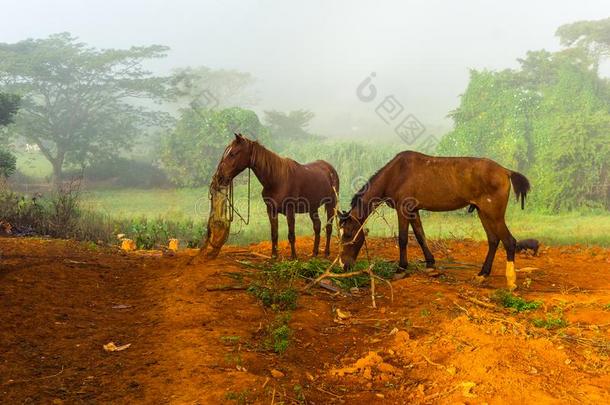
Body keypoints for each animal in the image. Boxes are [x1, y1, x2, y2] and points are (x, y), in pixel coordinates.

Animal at [338, 150, 528, 288]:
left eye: (348, 234)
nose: (343, 265)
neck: (396, 173)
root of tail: (506, 171)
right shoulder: (413, 211)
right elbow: (420, 236)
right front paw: (431, 265)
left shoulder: (403, 210)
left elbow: (403, 239)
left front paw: (401, 269)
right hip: (483, 213)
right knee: (493, 240)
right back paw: (482, 274)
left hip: (494, 214)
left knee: (509, 241)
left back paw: (511, 280)